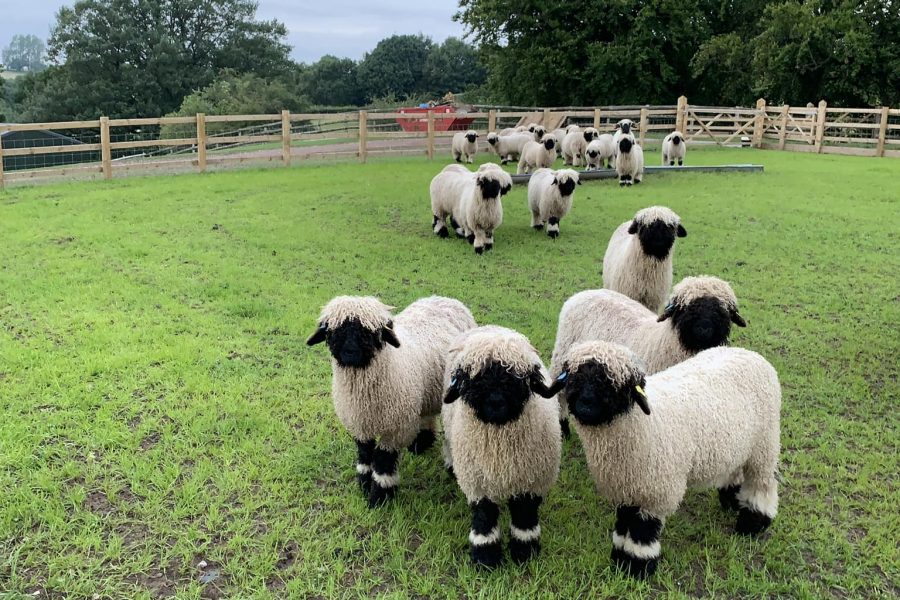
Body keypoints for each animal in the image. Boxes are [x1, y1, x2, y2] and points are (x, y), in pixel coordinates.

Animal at [308, 296, 478, 506]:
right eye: (333, 331)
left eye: (370, 333)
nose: (350, 352)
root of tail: (445, 298)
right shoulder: (359, 424)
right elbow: (365, 455)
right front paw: (364, 484)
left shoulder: (396, 429)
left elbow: (383, 460)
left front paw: (380, 496)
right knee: (426, 414)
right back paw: (420, 443)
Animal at [442, 328, 564, 568]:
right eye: (474, 377)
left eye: (517, 377)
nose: (496, 402)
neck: (501, 451)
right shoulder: (477, 482)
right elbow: (484, 516)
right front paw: (485, 557)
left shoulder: (531, 481)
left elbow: (524, 515)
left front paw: (525, 551)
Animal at [552, 276, 748, 436]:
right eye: (686, 309)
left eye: (722, 310)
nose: (704, 329)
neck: (664, 343)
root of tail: (584, 293)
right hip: (562, 353)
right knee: (560, 396)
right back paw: (563, 428)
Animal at [552, 340, 776, 580]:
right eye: (573, 378)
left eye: (615, 386)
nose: (585, 405)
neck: (642, 425)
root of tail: (749, 354)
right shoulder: (626, 486)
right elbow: (624, 521)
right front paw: (619, 557)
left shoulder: (657, 491)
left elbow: (642, 531)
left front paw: (638, 567)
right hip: (739, 444)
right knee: (736, 470)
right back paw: (732, 501)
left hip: (765, 443)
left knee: (763, 483)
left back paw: (753, 523)